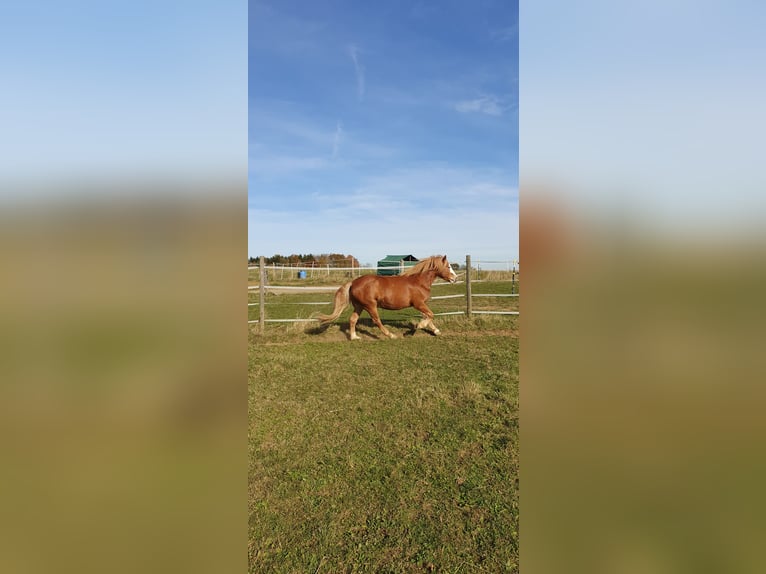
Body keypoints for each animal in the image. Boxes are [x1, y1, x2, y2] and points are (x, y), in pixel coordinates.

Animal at [316, 255, 460, 340]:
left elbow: (428, 316)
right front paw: (417, 327)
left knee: (353, 320)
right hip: (370, 305)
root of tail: (354, 282)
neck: (419, 282)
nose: (455, 278)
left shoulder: (421, 305)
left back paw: (354, 337)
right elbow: (430, 315)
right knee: (377, 321)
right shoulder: (418, 304)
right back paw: (391, 335)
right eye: (448, 266)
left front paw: (436, 331)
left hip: (359, 306)